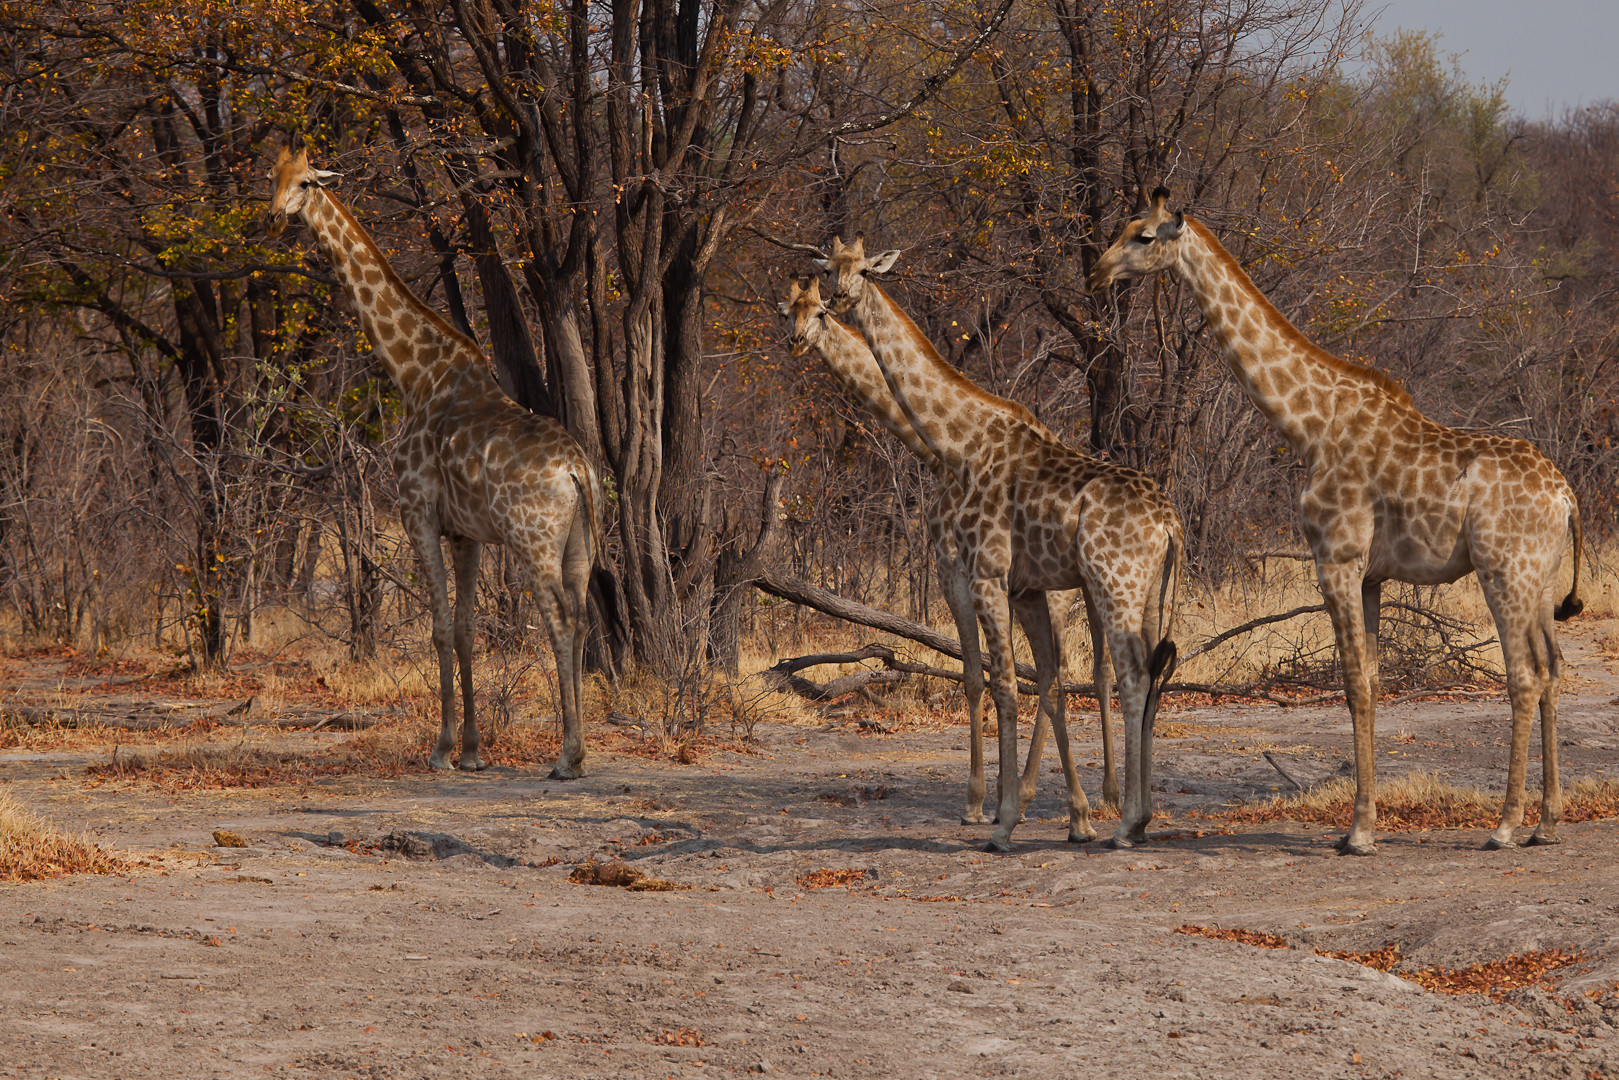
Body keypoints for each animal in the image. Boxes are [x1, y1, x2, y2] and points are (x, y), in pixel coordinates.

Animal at [267, 148, 608, 780]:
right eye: (271, 180)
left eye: (304, 183)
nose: (275, 216)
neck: (415, 374)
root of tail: (577, 470)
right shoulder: (465, 533)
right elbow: (469, 630)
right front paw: (472, 748)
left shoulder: (418, 513)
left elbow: (441, 629)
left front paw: (443, 749)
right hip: (579, 542)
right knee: (580, 613)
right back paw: (578, 749)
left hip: (531, 539)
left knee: (559, 619)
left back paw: (567, 756)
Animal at [777, 278, 1120, 835]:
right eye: (790, 311)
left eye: (821, 312)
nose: (797, 341)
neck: (940, 454)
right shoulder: (959, 570)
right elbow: (980, 676)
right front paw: (985, 801)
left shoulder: (973, 570)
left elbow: (998, 678)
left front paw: (990, 799)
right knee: (1060, 674)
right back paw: (1040, 794)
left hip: (1078, 594)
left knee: (1090, 673)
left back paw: (1103, 795)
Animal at [822, 244, 1178, 854]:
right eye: (829, 269)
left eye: (865, 271)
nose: (838, 297)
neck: (958, 444)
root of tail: (1171, 520)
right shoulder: (1026, 587)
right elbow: (1031, 680)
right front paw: (1044, 813)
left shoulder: (983, 573)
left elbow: (1005, 685)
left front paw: (1002, 820)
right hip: (1148, 588)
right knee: (1148, 677)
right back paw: (1135, 817)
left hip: (1114, 583)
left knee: (1130, 677)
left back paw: (1125, 822)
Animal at [1087, 190, 1580, 854]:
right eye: (1122, 226)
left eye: (1142, 236)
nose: (1098, 272)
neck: (1310, 424)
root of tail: (1567, 498)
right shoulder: (1369, 573)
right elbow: (1370, 680)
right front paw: (1364, 824)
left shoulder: (1336, 558)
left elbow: (1351, 684)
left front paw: (1358, 832)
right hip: (1539, 580)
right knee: (1552, 669)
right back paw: (1546, 823)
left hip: (1504, 572)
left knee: (1524, 677)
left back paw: (1504, 827)